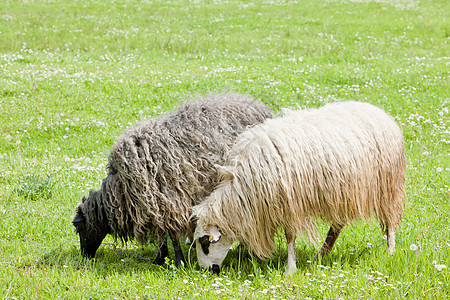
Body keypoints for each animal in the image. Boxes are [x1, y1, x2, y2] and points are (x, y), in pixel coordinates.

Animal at [73, 94, 274, 268]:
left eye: (80, 228)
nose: (85, 256)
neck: (121, 190)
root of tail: (256, 104)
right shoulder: (154, 207)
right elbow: (162, 236)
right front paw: (160, 258)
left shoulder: (170, 202)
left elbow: (172, 235)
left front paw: (178, 262)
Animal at [192, 101, 406, 274]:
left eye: (204, 242)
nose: (206, 271)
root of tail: (379, 111)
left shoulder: (290, 204)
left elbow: (290, 237)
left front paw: (290, 268)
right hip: (343, 191)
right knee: (338, 224)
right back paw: (322, 253)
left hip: (387, 186)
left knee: (389, 220)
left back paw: (390, 250)